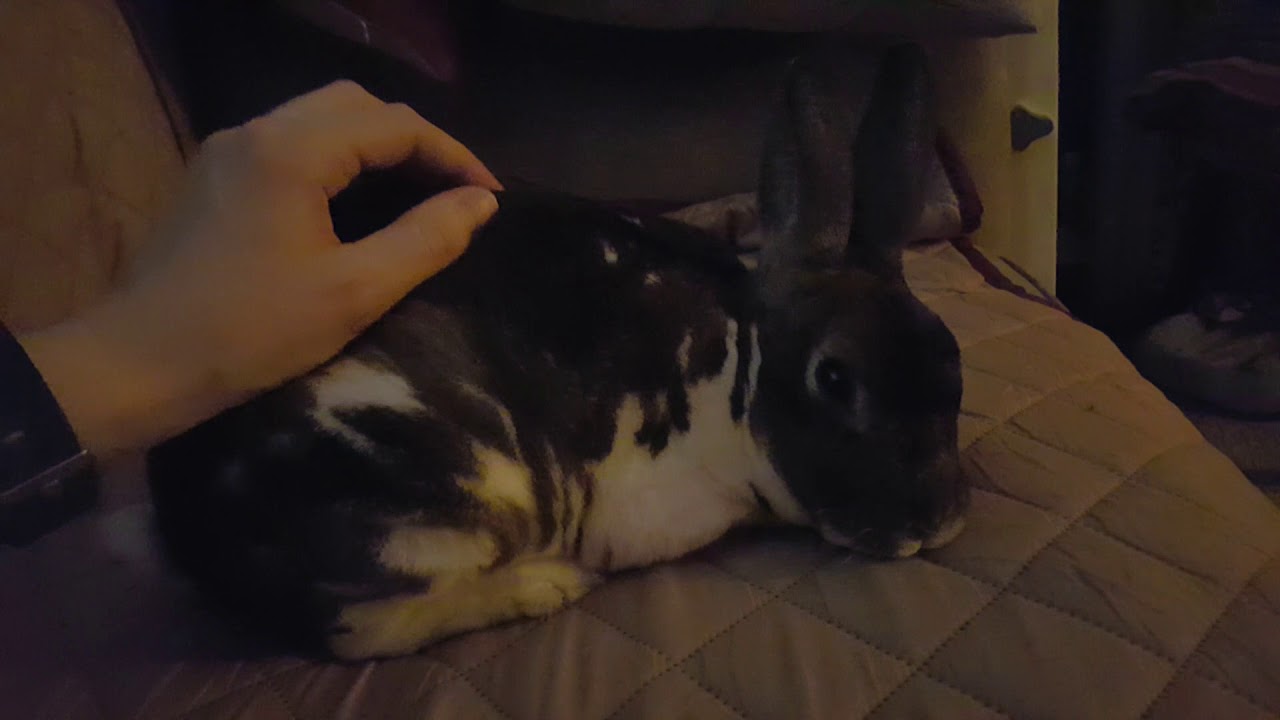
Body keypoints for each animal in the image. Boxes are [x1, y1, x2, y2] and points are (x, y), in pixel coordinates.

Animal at [146, 41, 968, 661]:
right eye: (834, 378)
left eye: (955, 367)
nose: (938, 520)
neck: (736, 360)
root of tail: (192, 532)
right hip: (446, 500)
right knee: (367, 632)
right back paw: (548, 585)